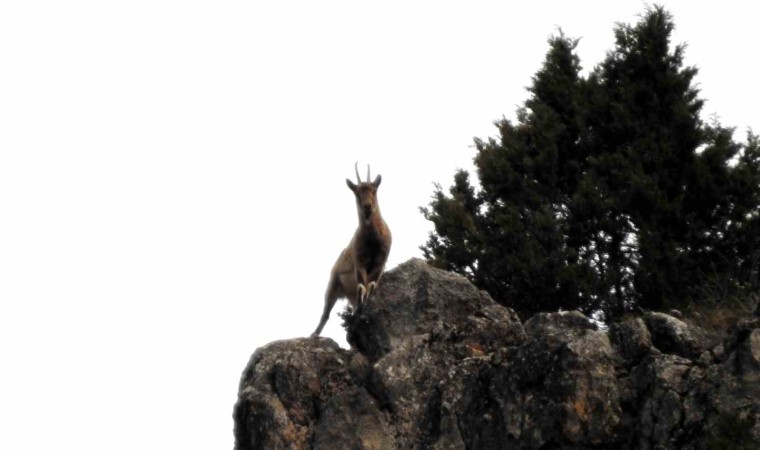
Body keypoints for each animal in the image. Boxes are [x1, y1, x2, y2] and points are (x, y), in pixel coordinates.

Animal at [312, 163, 392, 336]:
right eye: (357, 192)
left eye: (374, 190)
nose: (367, 206)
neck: (373, 241)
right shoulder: (359, 262)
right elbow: (362, 286)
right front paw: (361, 314)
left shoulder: (380, 263)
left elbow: (370, 286)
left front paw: (364, 312)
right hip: (333, 284)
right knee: (325, 313)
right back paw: (314, 334)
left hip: (348, 294)